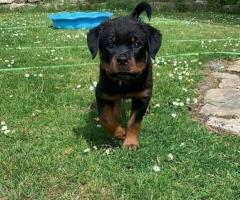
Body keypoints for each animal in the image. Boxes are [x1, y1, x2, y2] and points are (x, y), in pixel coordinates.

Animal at [87, 1, 162, 148]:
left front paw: (130, 142)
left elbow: (134, 121)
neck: (125, 82)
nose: (122, 59)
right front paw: (120, 132)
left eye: (137, 44)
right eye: (110, 44)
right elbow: (105, 117)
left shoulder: (141, 96)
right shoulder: (102, 93)